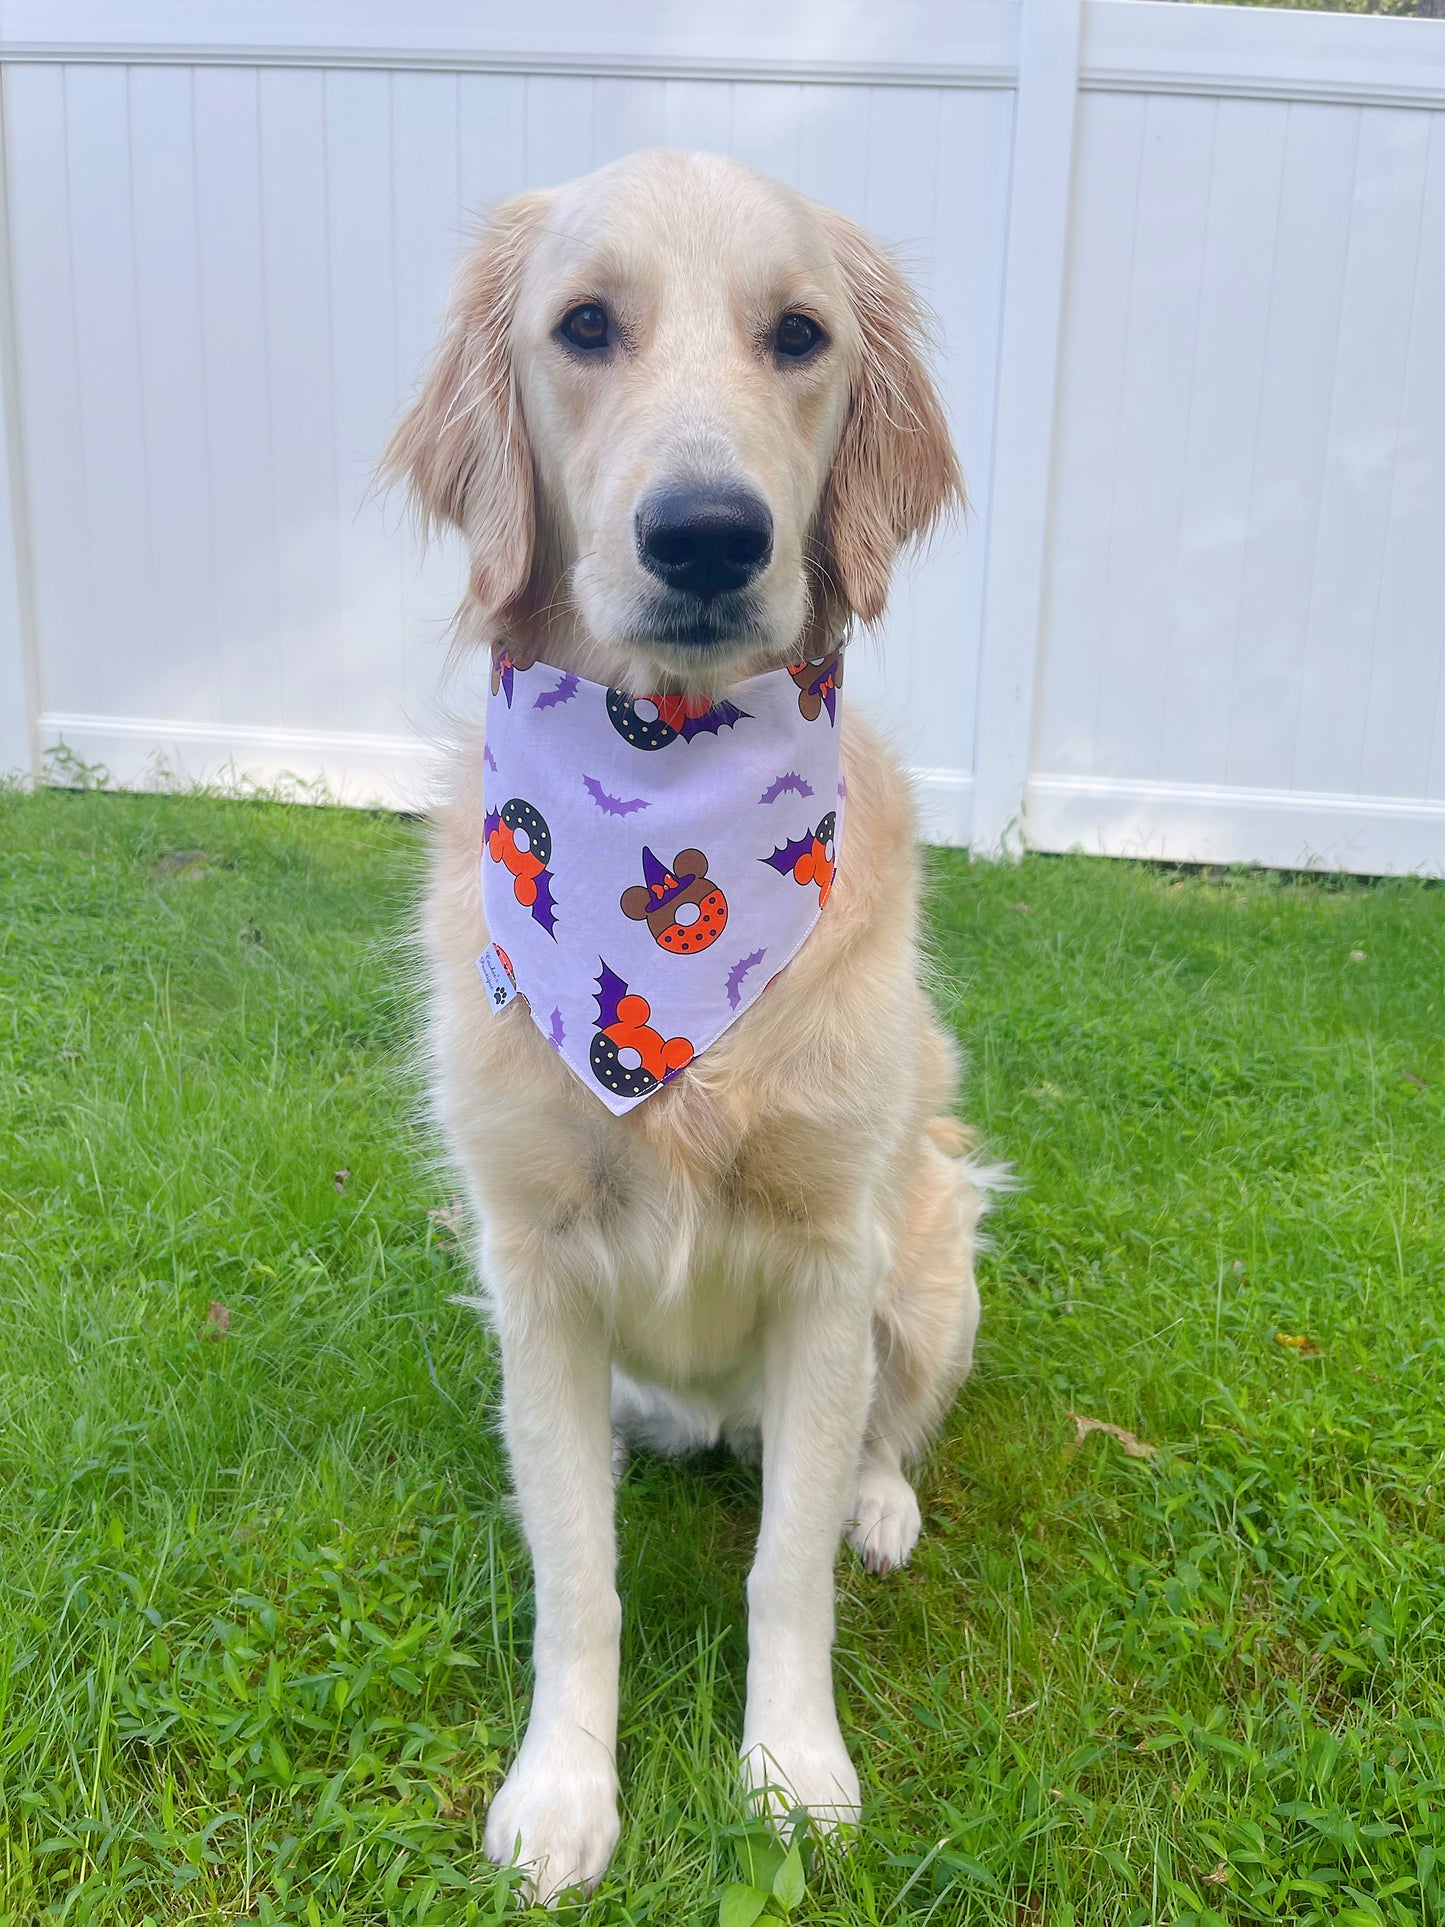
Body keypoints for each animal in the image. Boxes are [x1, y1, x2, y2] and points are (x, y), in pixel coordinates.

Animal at [385, 146, 994, 1896]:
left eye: (798, 335)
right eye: (586, 325)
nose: (711, 534)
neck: (665, 764)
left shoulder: (829, 1262)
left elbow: (782, 1571)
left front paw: (792, 1768)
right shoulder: (532, 1270)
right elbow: (576, 1578)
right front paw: (563, 1787)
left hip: (933, 1256)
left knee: (879, 1433)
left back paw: (877, 1502)